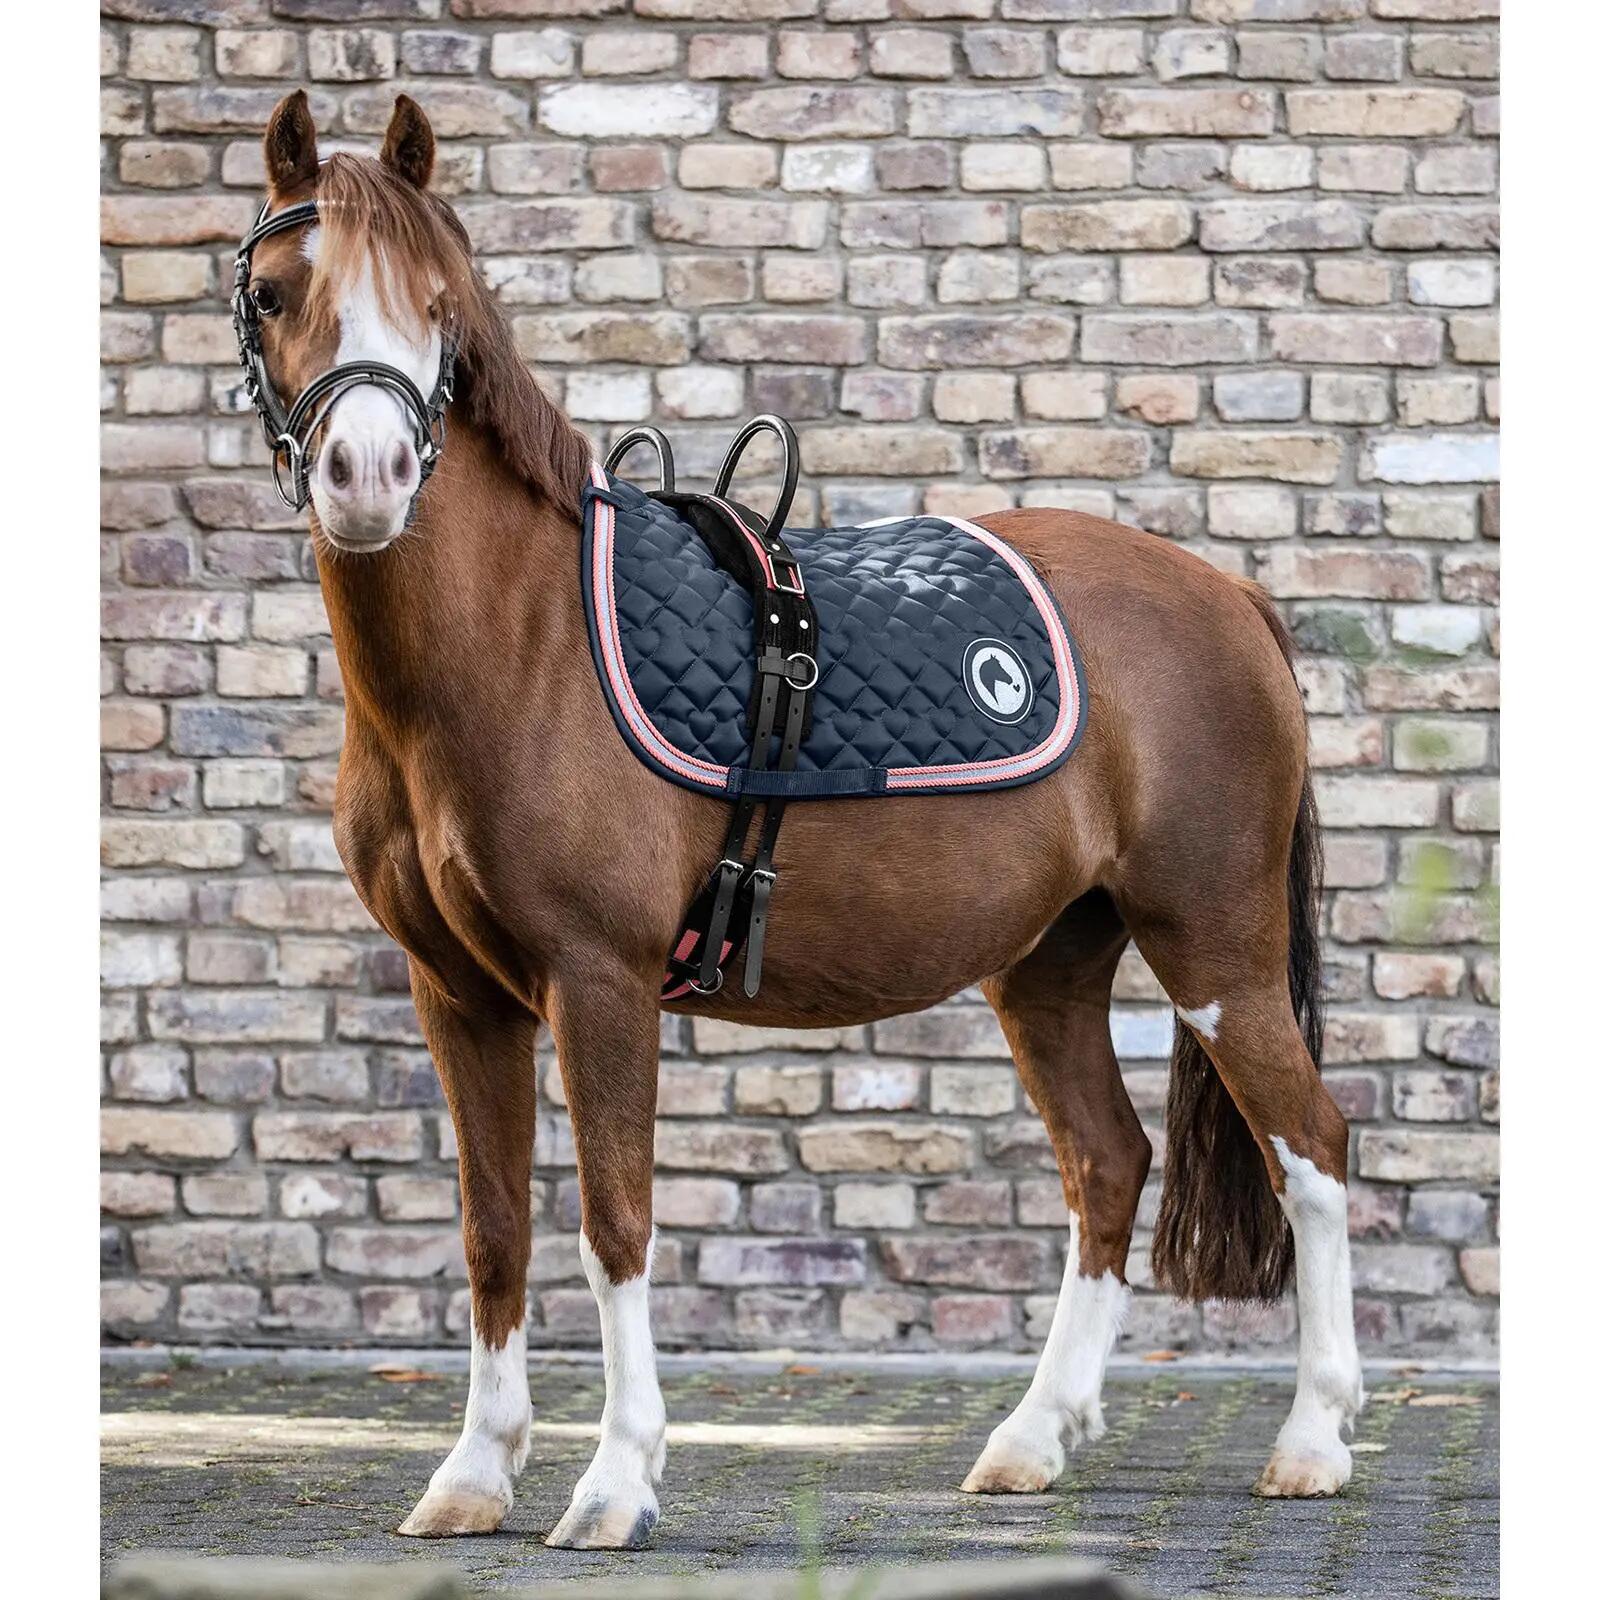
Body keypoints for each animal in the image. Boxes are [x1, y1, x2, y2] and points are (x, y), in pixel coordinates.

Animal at [236, 91, 1362, 1549]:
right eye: (272, 292)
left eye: (439, 304)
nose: (366, 475)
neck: (521, 644)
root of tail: (1234, 597)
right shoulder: (457, 992)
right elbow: (494, 1231)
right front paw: (474, 1476)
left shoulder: (599, 981)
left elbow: (615, 1221)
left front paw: (614, 1484)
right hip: (1051, 963)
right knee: (1107, 1165)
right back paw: (1030, 1440)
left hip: (1215, 948)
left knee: (1312, 1152)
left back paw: (1311, 1441)